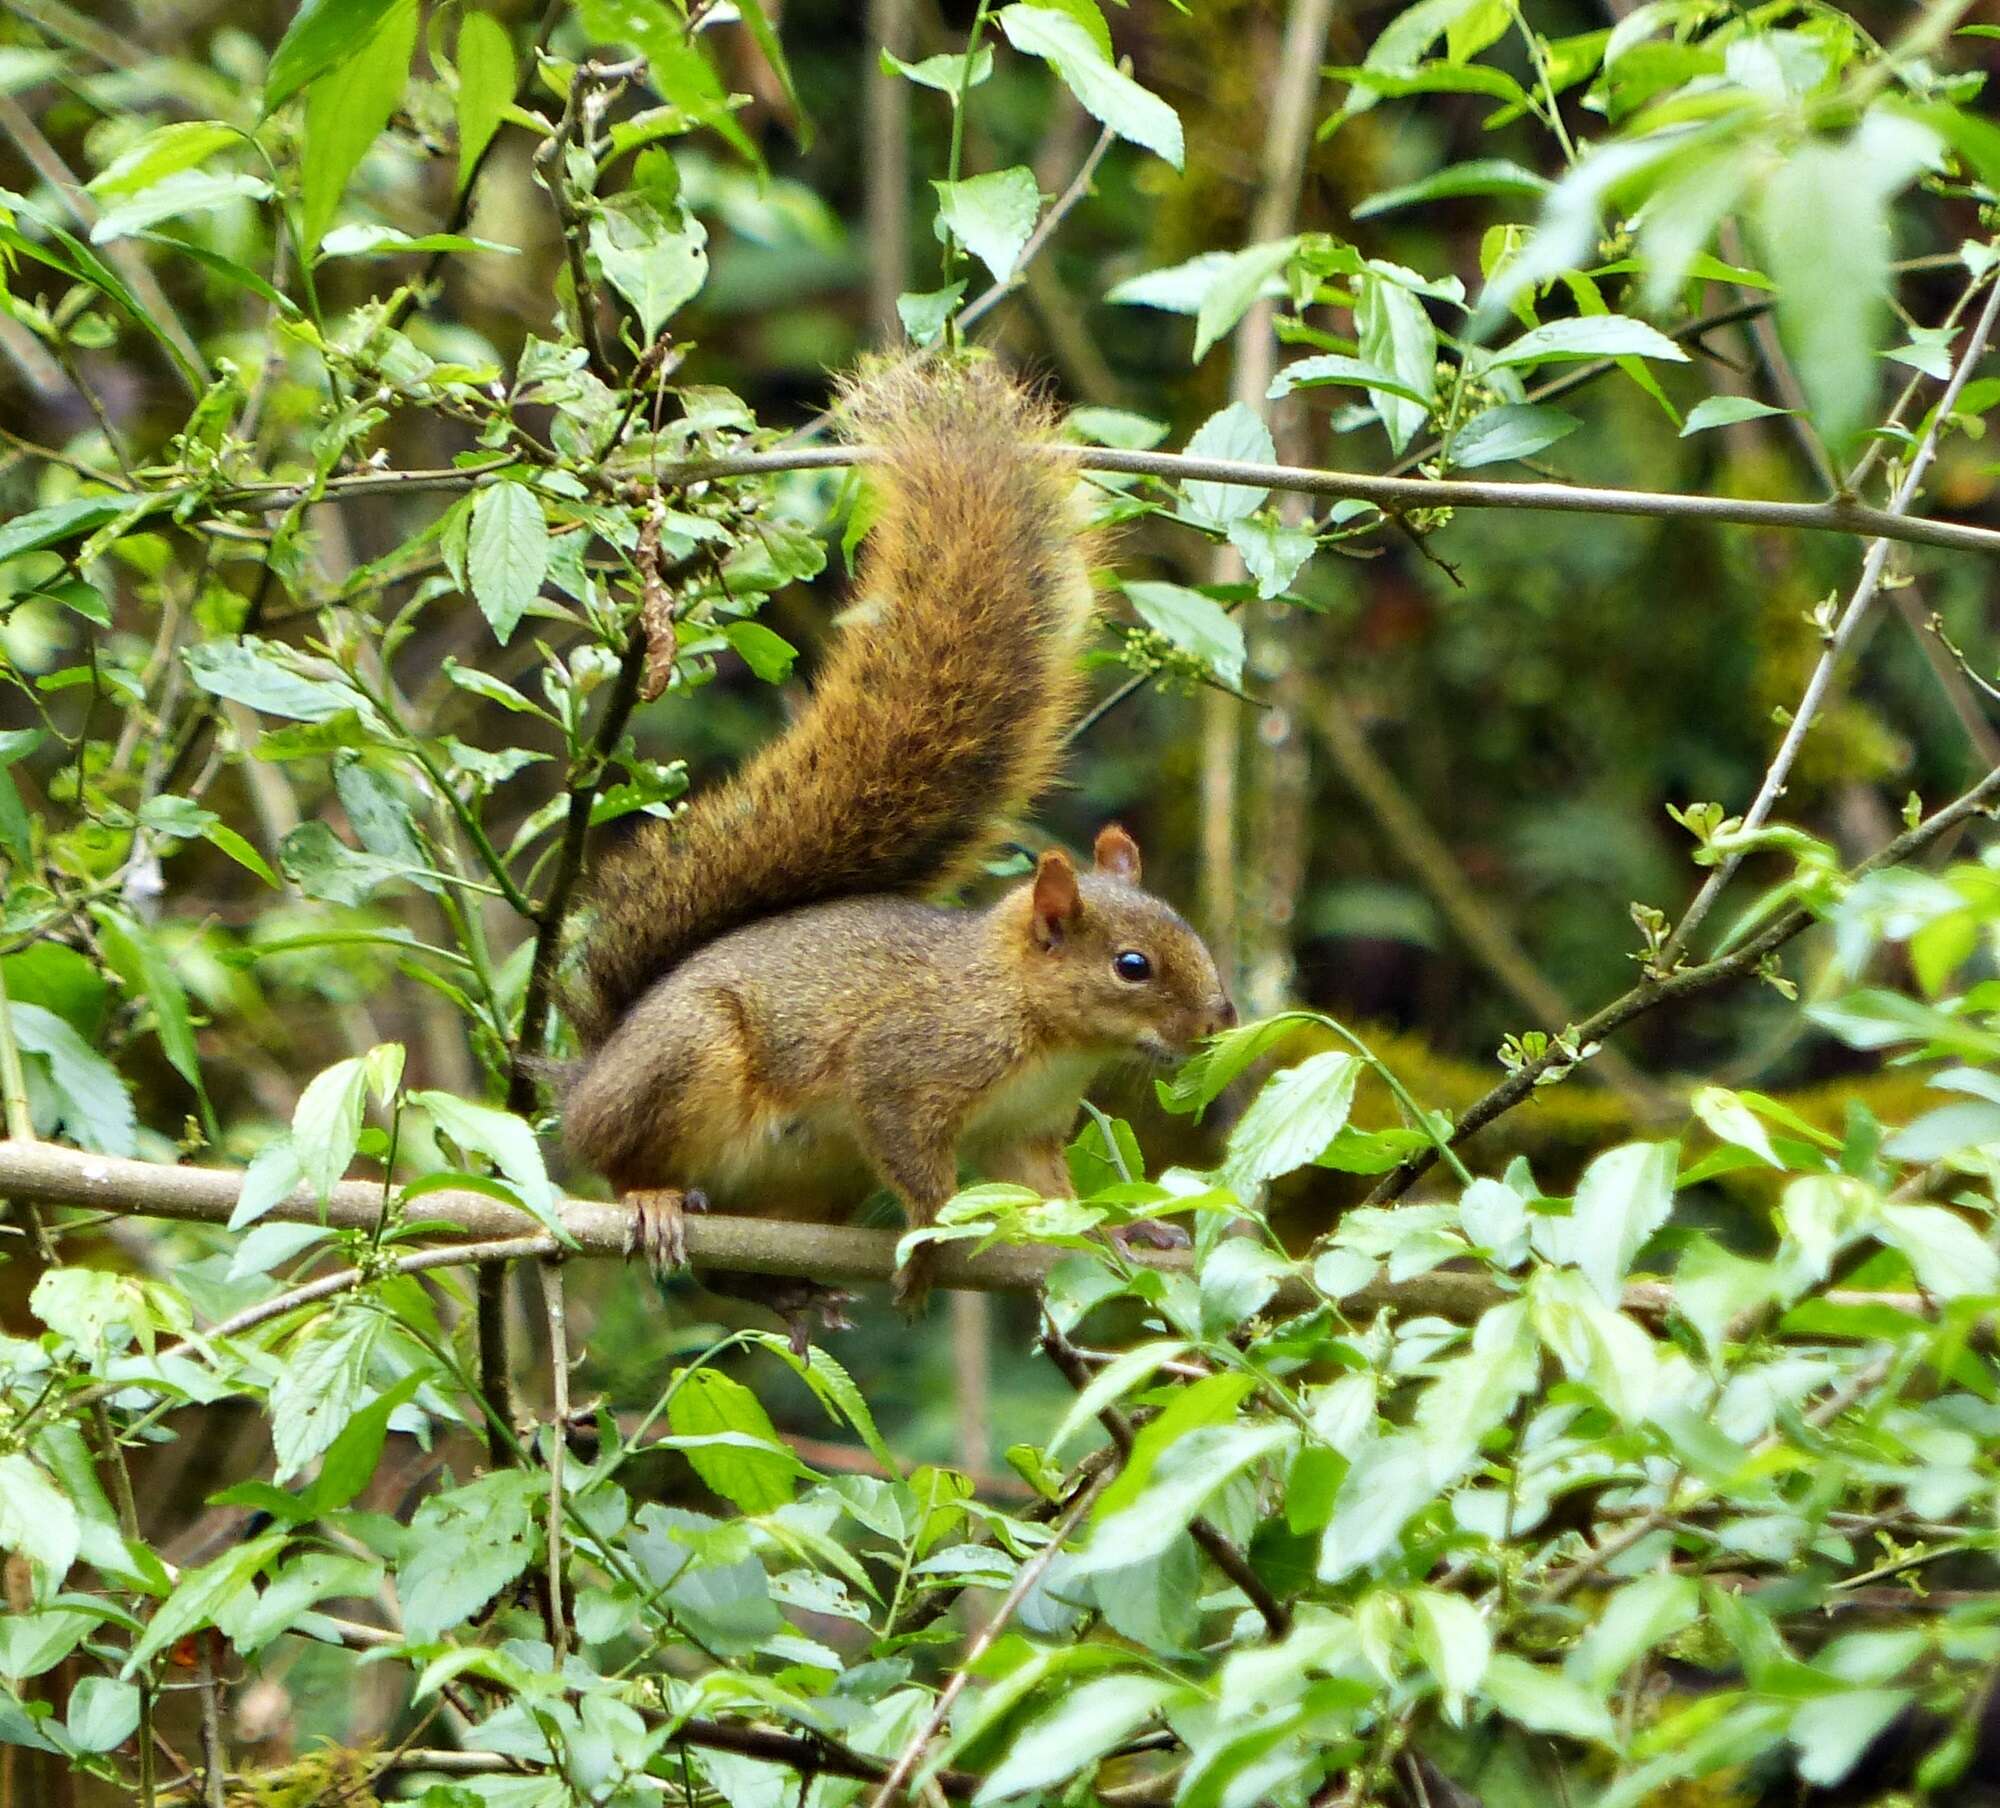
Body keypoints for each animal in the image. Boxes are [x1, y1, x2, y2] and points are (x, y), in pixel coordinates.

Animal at [556, 360, 1224, 1336]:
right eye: (1132, 967)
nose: (1218, 1023)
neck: (1041, 1028)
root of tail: (586, 1080)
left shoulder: (1021, 1133)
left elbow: (1051, 1197)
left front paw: (1125, 1235)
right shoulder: (907, 1072)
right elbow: (914, 1157)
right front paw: (934, 1237)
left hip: (817, 1179)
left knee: (733, 1268)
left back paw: (785, 1287)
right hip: (686, 1067)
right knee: (619, 1166)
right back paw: (650, 1200)